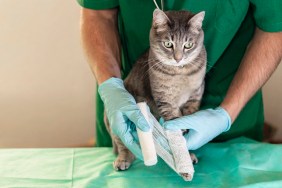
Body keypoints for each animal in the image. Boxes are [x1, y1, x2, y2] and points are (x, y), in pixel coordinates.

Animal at [104, 9, 206, 173]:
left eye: (188, 45)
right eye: (168, 44)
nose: (178, 58)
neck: (180, 74)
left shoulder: (194, 99)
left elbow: (188, 126)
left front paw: (188, 153)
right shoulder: (165, 101)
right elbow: (175, 125)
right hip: (113, 120)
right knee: (122, 143)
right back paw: (123, 159)